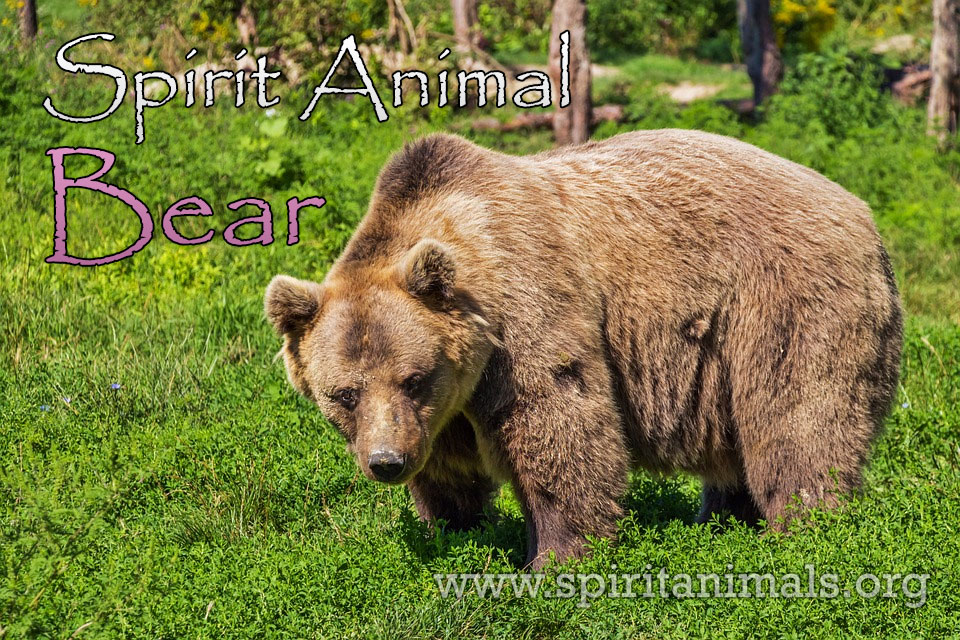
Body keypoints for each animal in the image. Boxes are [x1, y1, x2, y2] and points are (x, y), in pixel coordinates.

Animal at [264, 129, 902, 569]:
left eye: (413, 377)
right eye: (343, 394)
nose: (386, 462)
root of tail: (862, 212)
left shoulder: (526, 315)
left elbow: (560, 427)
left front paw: (554, 559)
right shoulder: (443, 409)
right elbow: (448, 471)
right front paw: (455, 529)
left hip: (784, 303)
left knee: (798, 421)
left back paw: (806, 528)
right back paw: (721, 520)